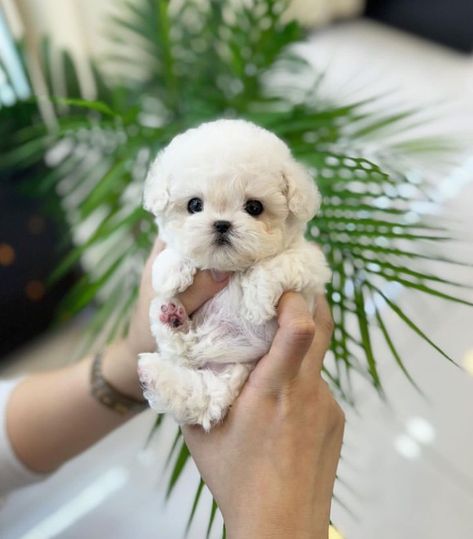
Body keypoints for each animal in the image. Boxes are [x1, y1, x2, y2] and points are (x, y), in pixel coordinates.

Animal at [137, 119, 328, 430]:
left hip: (233, 375)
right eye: (194, 205)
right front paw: (172, 270)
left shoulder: (310, 262)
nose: (222, 224)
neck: (229, 267)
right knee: (180, 355)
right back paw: (170, 322)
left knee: (203, 396)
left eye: (254, 207)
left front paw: (256, 302)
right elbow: (172, 253)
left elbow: (273, 264)